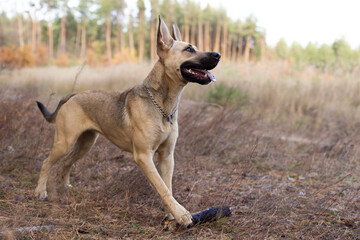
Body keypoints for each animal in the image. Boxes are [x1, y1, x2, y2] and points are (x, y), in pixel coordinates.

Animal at [34, 16, 219, 227]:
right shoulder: (144, 156)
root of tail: (73, 96)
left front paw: (170, 214)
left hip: (85, 143)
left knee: (66, 163)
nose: (218, 55)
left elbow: (167, 186)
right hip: (64, 141)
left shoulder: (167, 156)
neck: (162, 104)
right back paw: (40, 191)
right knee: (46, 162)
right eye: (189, 49)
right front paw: (181, 214)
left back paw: (67, 187)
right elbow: (162, 187)